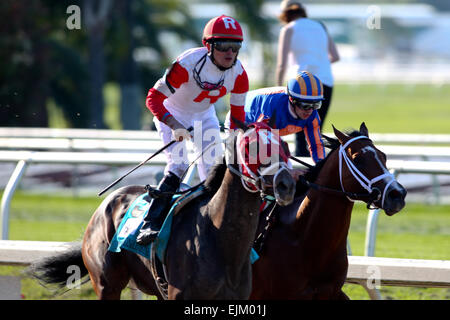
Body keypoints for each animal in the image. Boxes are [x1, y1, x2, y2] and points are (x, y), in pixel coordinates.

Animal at [27, 122, 296, 300]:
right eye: (252, 147)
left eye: (285, 145)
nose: (286, 184)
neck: (219, 238)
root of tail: (106, 203)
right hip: (106, 284)